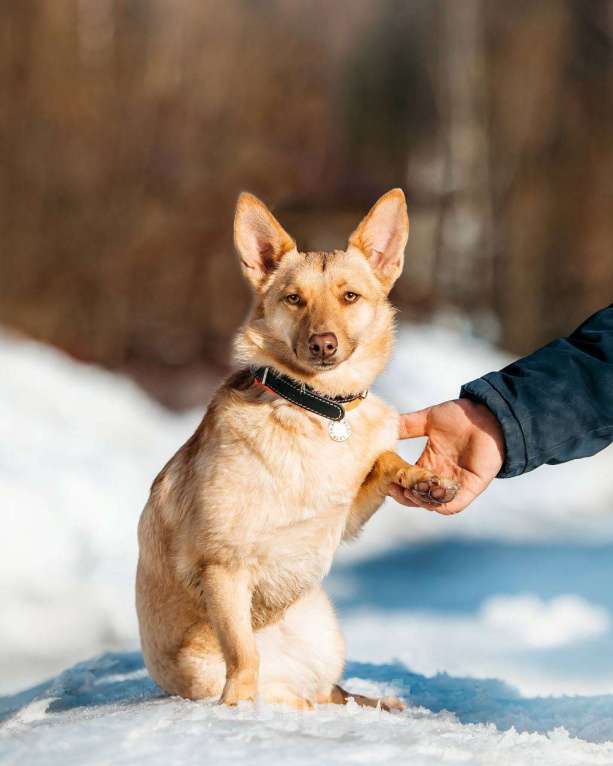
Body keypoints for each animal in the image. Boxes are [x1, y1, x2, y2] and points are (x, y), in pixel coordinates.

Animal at [135, 190, 460, 712]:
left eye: (350, 296)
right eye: (294, 298)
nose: (323, 344)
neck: (316, 407)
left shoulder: (345, 517)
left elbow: (384, 462)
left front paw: (420, 479)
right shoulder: (223, 568)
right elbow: (242, 655)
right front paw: (237, 709)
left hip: (325, 631)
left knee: (329, 692)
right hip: (199, 666)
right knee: (277, 684)